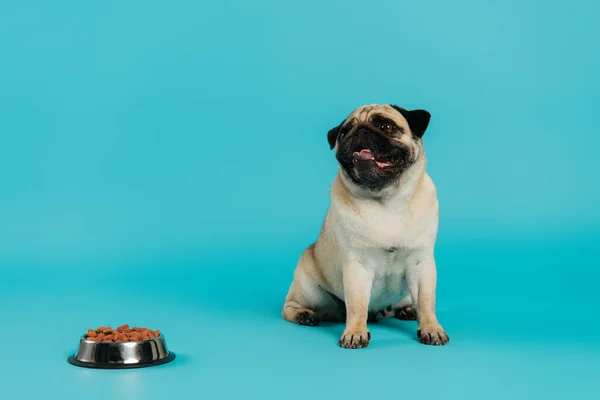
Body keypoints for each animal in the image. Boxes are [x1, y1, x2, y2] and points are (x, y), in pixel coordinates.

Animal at [282, 104, 446, 348]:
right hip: (309, 290)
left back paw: (407, 310)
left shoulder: (421, 264)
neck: (387, 200)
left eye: (386, 126)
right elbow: (357, 304)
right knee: (290, 306)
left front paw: (431, 328)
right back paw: (304, 315)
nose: (360, 130)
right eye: (343, 133)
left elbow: (426, 301)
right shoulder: (357, 266)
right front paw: (355, 332)